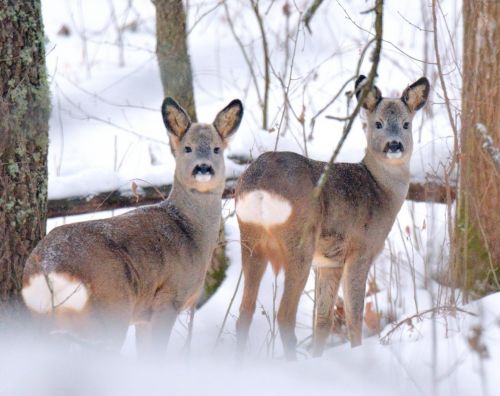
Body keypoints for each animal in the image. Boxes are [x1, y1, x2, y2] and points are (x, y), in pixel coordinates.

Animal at [21, 96, 244, 356]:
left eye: (217, 149)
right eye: (187, 148)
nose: (203, 167)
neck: (190, 231)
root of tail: (47, 269)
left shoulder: (143, 316)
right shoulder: (168, 297)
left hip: (45, 321)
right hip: (109, 313)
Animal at [235, 75, 430, 358]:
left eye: (406, 124)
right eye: (378, 123)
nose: (394, 145)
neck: (380, 191)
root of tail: (260, 184)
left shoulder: (329, 263)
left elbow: (323, 321)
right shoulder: (360, 250)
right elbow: (353, 316)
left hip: (250, 238)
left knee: (244, 313)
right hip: (299, 242)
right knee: (284, 314)